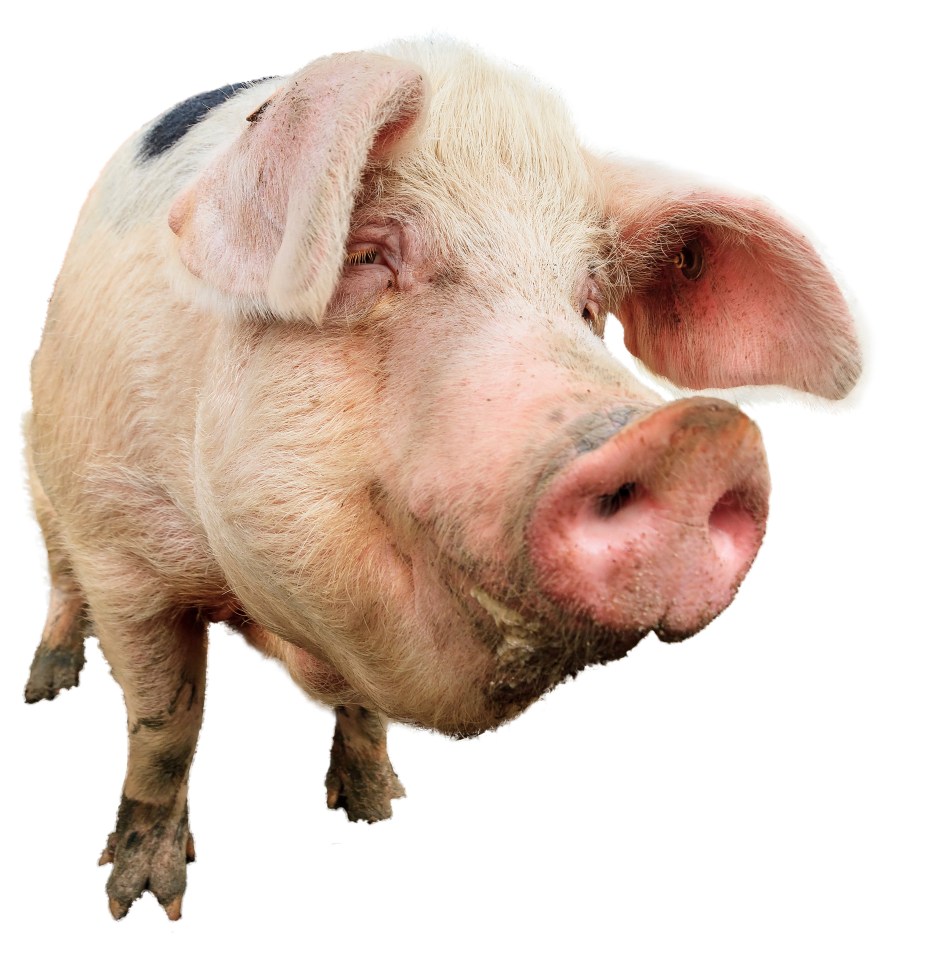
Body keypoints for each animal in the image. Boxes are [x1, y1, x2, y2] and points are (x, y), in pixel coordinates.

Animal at [24, 39, 860, 920]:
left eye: (590, 303)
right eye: (365, 255)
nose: (699, 434)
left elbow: (356, 709)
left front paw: (376, 809)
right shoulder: (117, 541)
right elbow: (164, 722)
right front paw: (141, 902)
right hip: (41, 469)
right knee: (58, 576)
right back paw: (46, 687)